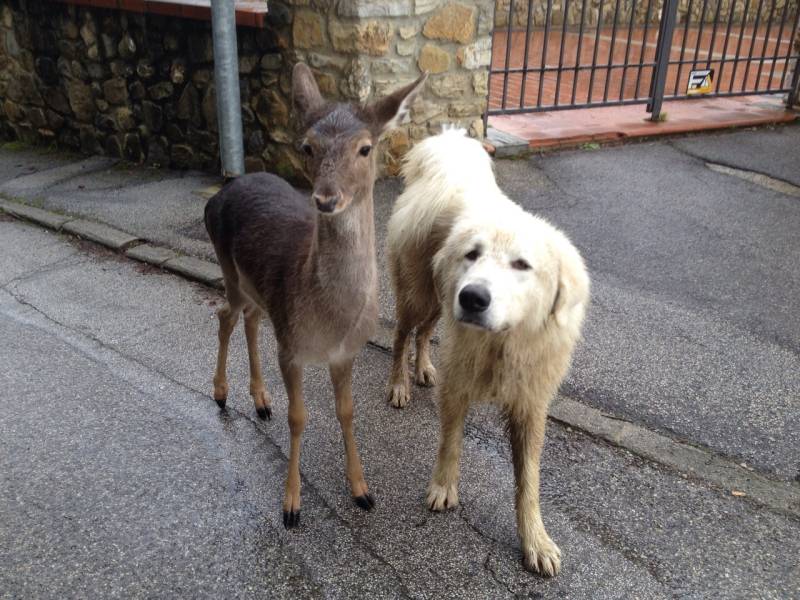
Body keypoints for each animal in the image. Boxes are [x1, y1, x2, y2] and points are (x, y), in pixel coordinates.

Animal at [203, 63, 424, 528]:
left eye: (365, 148)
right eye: (307, 146)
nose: (326, 198)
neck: (330, 320)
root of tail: (216, 196)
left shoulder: (345, 352)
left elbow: (347, 411)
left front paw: (362, 491)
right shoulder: (291, 347)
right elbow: (298, 417)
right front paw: (291, 505)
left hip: (259, 292)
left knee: (249, 319)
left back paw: (260, 399)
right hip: (229, 270)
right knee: (225, 315)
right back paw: (221, 392)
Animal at [384, 129, 592, 576]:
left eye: (522, 265)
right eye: (472, 254)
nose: (473, 297)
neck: (505, 341)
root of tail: (446, 151)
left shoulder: (530, 403)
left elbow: (528, 481)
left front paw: (535, 539)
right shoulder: (459, 383)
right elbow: (450, 441)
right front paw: (443, 486)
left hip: (439, 301)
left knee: (425, 334)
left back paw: (423, 368)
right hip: (419, 295)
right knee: (402, 335)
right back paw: (399, 384)